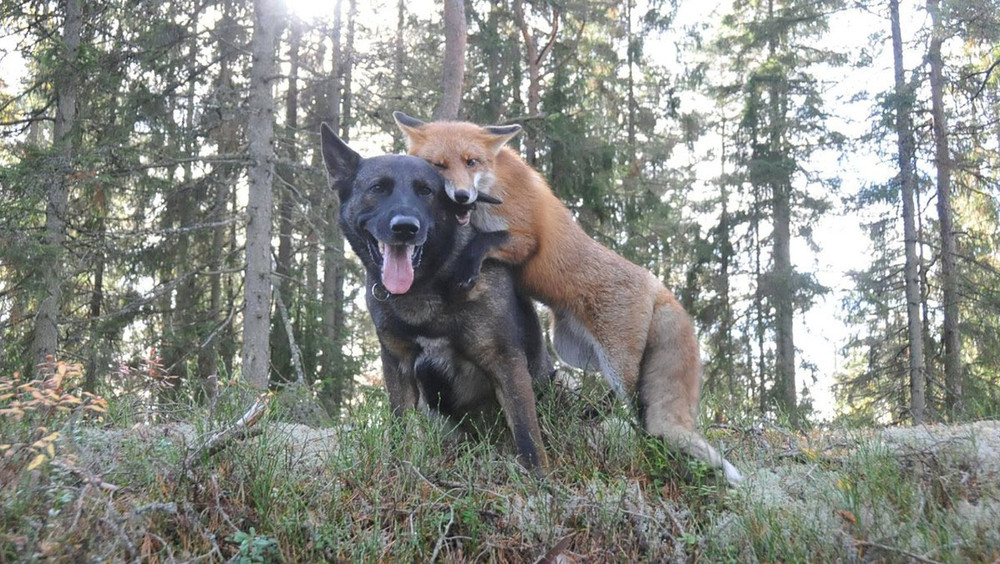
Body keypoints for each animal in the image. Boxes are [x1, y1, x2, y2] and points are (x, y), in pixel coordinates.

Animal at [393, 111, 743, 485]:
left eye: (471, 161)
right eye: (439, 165)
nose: (461, 196)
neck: (493, 186)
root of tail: (659, 286)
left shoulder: (526, 240)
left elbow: (485, 242)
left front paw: (467, 267)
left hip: (618, 364)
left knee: (634, 404)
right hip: (574, 351)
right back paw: (589, 415)